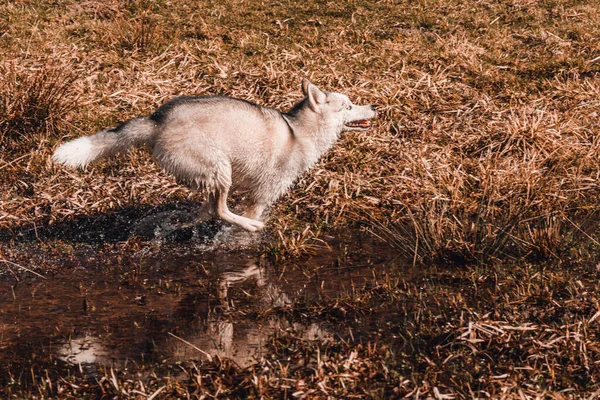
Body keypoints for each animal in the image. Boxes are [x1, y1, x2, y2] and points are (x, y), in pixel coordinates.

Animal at [55, 79, 376, 231]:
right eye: (348, 107)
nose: (374, 106)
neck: (300, 131)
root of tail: (158, 120)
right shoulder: (263, 194)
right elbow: (249, 212)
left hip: (211, 175)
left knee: (208, 210)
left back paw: (186, 223)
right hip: (221, 169)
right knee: (221, 211)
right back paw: (249, 226)